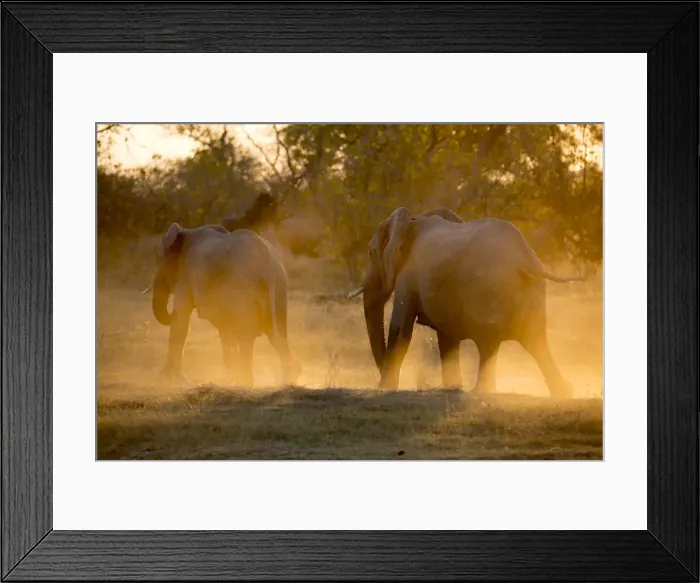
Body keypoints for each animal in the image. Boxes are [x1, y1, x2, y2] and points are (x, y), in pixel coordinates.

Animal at [143, 222, 301, 386]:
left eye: (161, 259)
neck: (185, 232)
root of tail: (268, 265)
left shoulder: (186, 275)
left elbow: (181, 318)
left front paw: (167, 377)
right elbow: (224, 329)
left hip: (242, 292)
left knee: (246, 334)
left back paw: (244, 382)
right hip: (279, 290)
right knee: (275, 334)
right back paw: (289, 377)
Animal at [348, 207, 583, 396]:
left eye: (370, 253)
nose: (381, 376)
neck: (411, 221)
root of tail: (525, 258)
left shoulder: (408, 276)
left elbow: (400, 329)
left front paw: (384, 388)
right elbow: (448, 339)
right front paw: (452, 388)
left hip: (490, 290)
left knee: (490, 341)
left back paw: (480, 391)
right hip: (531, 291)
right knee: (536, 340)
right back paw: (564, 392)